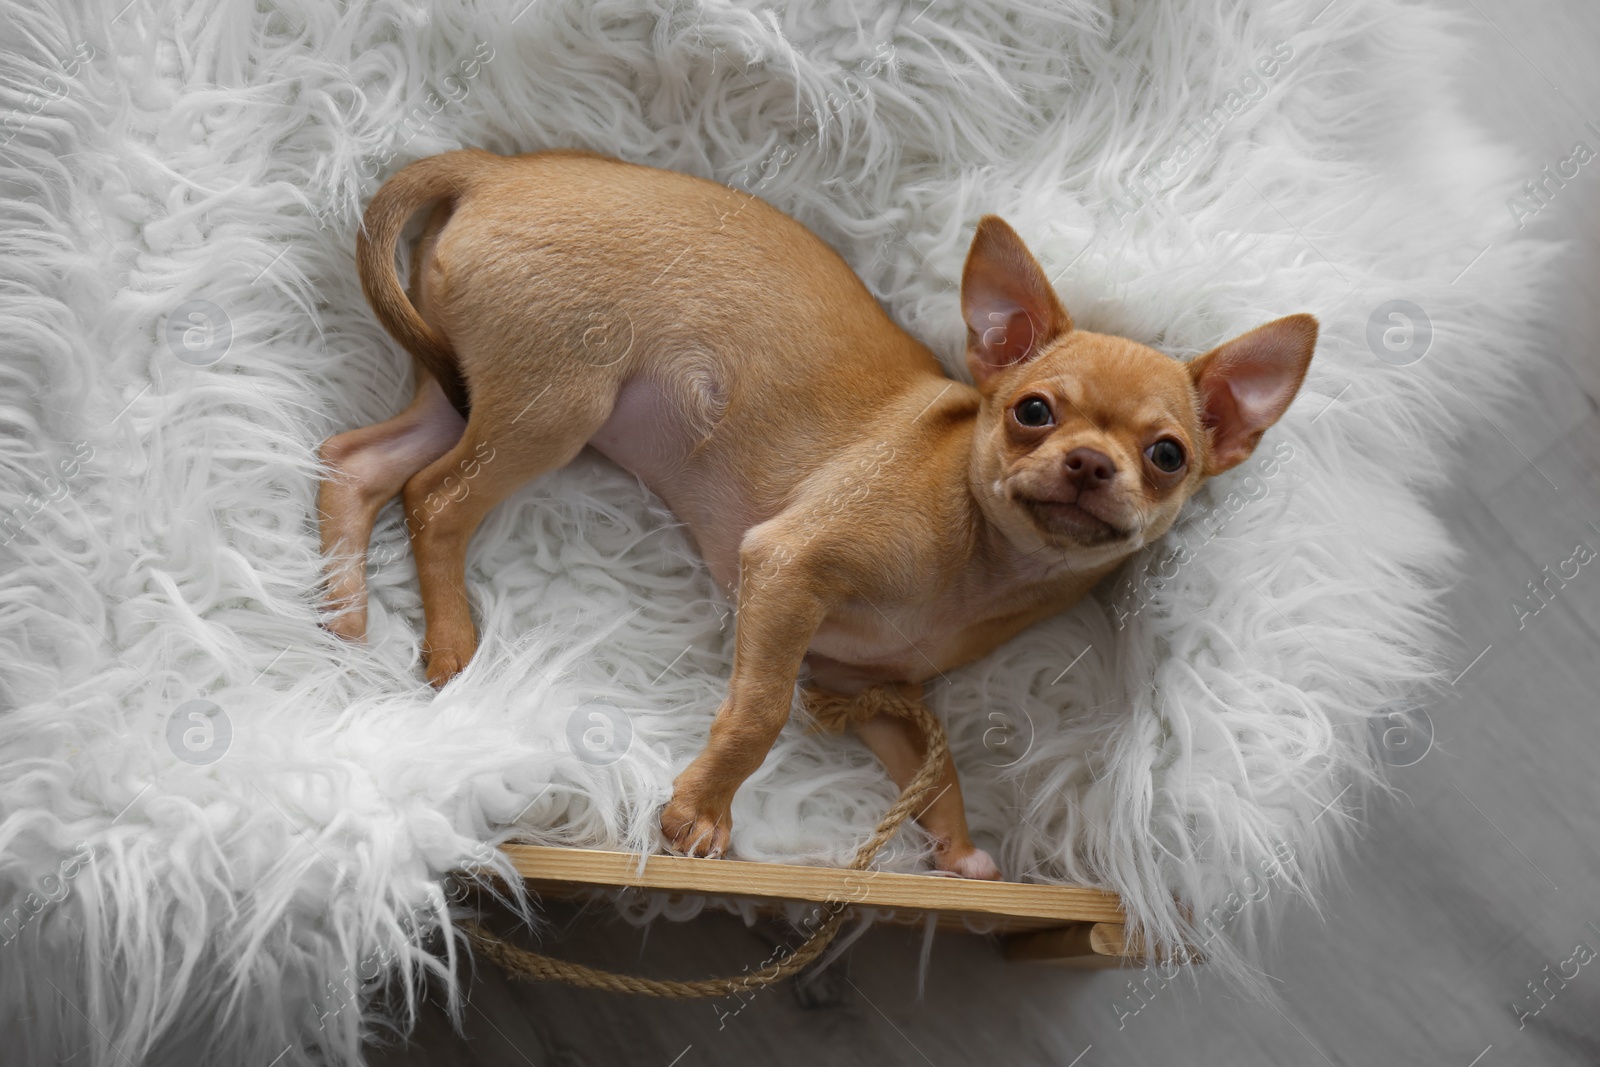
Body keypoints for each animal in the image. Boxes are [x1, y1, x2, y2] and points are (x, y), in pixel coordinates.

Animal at [318, 146, 1318, 883]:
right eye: (1032, 411)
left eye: (1169, 456)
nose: (1088, 462)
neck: (983, 563)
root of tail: (495, 169)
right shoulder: (787, 571)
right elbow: (757, 712)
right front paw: (701, 814)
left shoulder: (858, 683)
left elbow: (941, 769)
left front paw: (958, 850)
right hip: (553, 405)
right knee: (436, 501)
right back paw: (451, 641)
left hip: (467, 389)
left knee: (358, 465)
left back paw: (343, 606)